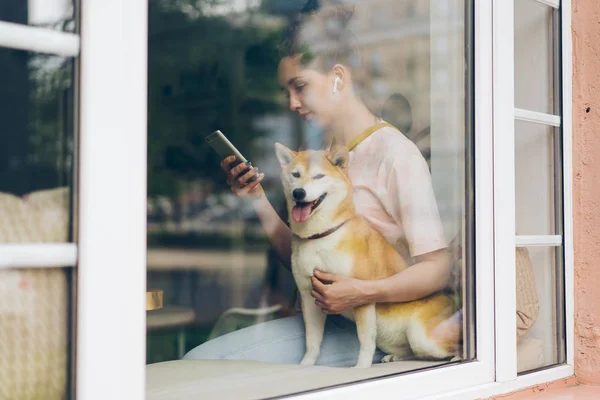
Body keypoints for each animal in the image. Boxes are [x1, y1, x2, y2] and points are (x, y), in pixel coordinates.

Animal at [276, 143, 460, 368]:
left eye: (319, 176)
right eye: (295, 174)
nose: (298, 192)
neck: (320, 236)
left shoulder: (360, 296)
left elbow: (365, 341)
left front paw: (361, 368)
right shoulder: (308, 297)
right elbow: (312, 343)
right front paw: (306, 366)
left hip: (422, 336)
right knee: (414, 353)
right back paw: (396, 357)